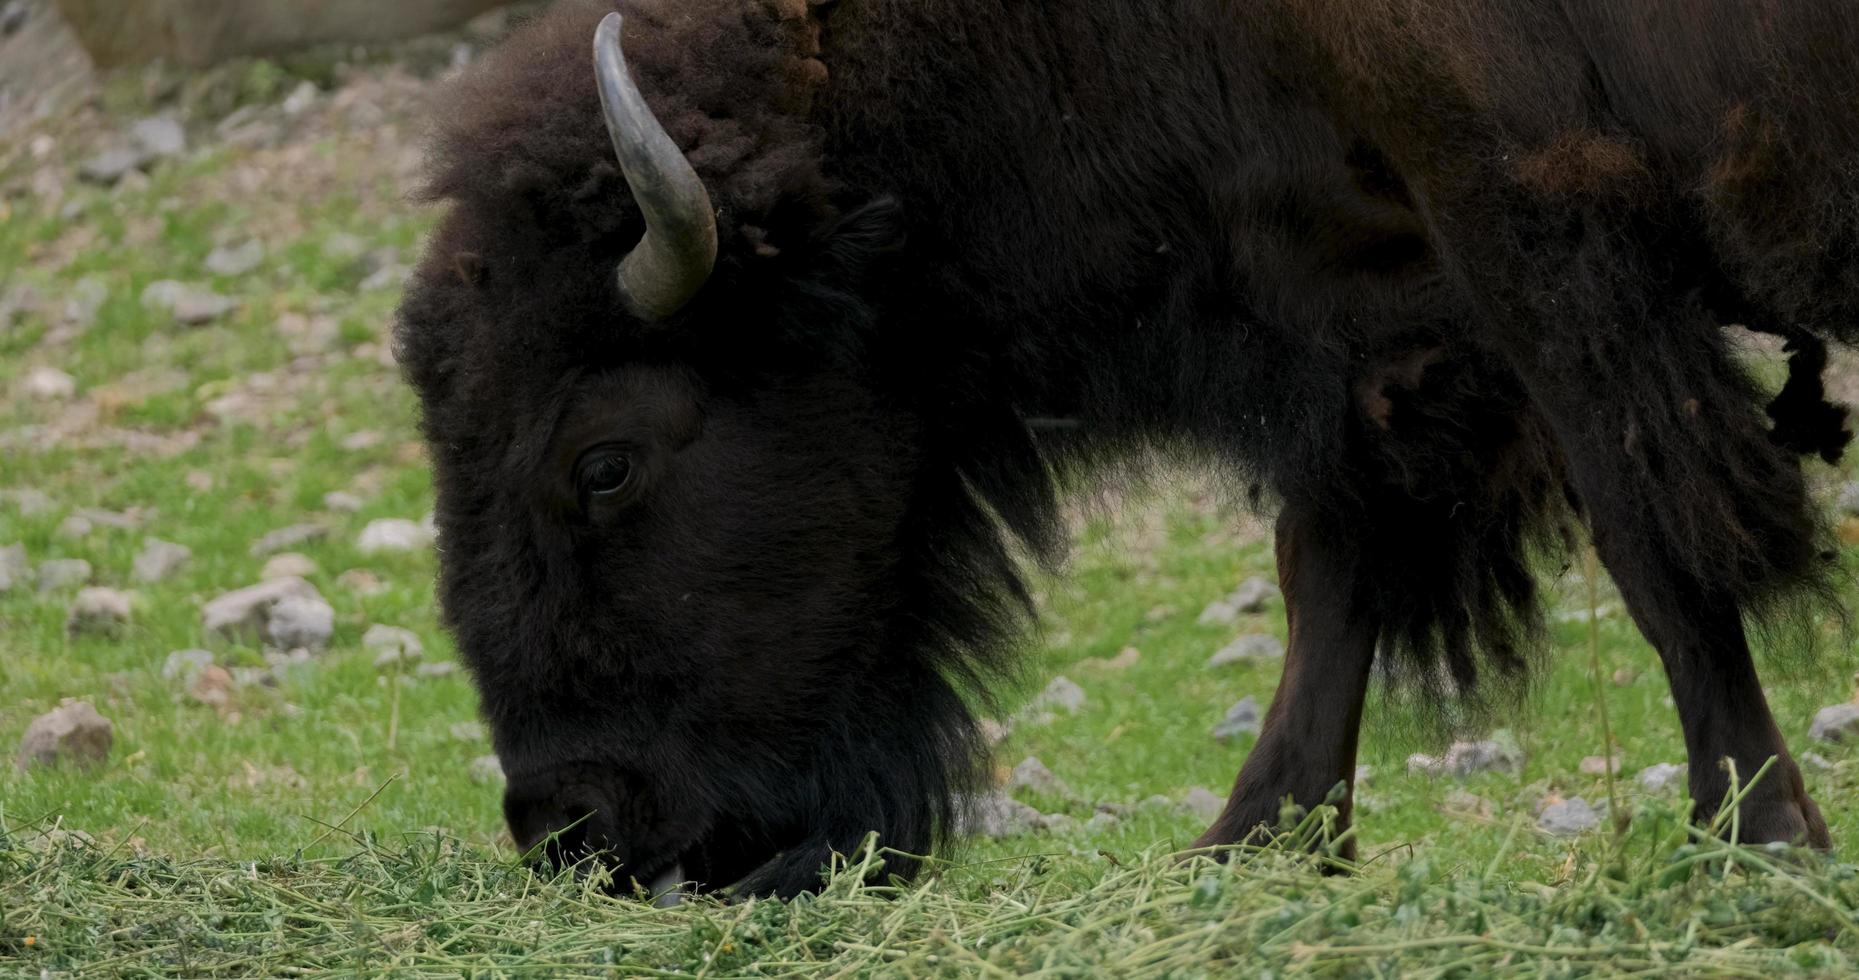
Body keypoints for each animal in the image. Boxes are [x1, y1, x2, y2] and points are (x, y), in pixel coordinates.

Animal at [395, 0, 1859, 896]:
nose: (574, 825)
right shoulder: (1355, 319)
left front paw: (1754, 841)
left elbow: (1653, 542)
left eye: (601, 462)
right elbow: (1327, 570)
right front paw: (1248, 846)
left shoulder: (1530, 227)